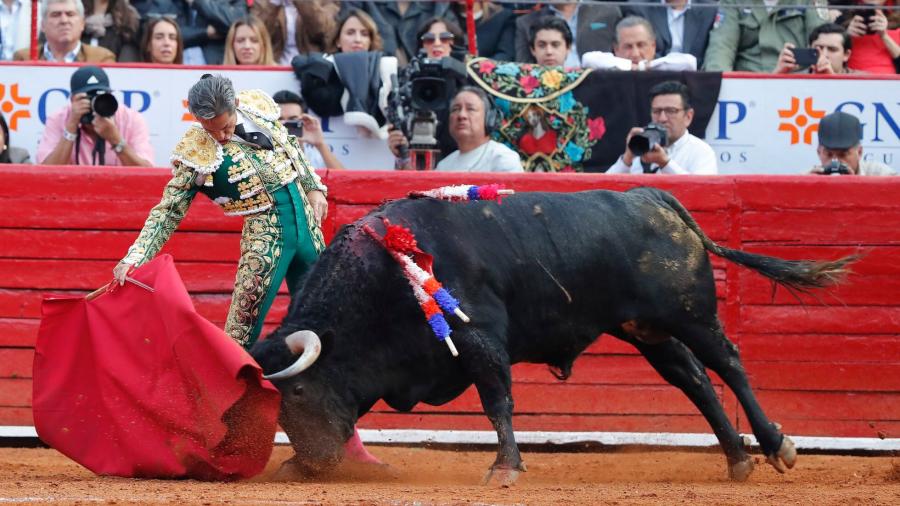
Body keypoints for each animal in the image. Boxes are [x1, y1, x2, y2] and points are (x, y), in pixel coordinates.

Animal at [250, 188, 856, 484]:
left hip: (690, 313)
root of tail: (654, 197)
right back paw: (736, 460)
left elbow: (498, 402)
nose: (313, 466)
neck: (384, 278)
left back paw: (776, 446)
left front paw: (504, 469)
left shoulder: (480, 339)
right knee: (694, 380)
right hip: (646, 330)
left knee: (728, 364)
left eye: (297, 391)